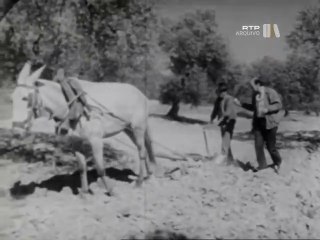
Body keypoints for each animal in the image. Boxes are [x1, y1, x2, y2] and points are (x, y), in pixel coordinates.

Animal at [11, 62, 157, 196]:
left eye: (25, 98)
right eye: (12, 98)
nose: (17, 127)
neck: (71, 105)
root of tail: (141, 95)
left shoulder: (96, 140)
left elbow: (100, 168)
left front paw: (111, 191)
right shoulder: (76, 142)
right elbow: (82, 167)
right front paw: (85, 193)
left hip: (138, 128)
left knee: (142, 152)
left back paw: (139, 182)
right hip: (128, 129)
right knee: (144, 149)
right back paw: (148, 175)